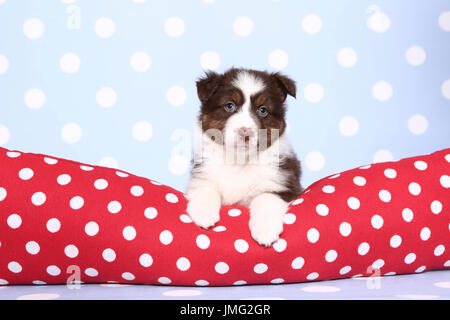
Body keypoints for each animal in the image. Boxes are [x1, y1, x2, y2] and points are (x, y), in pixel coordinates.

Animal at [185, 68, 304, 248]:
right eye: (229, 106)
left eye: (263, 110)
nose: (245, 132)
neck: (239, 162)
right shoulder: (202, 173)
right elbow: (205, 188)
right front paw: (203, 213)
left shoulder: (287, 184)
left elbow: (266, 197)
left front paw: (265, 230)